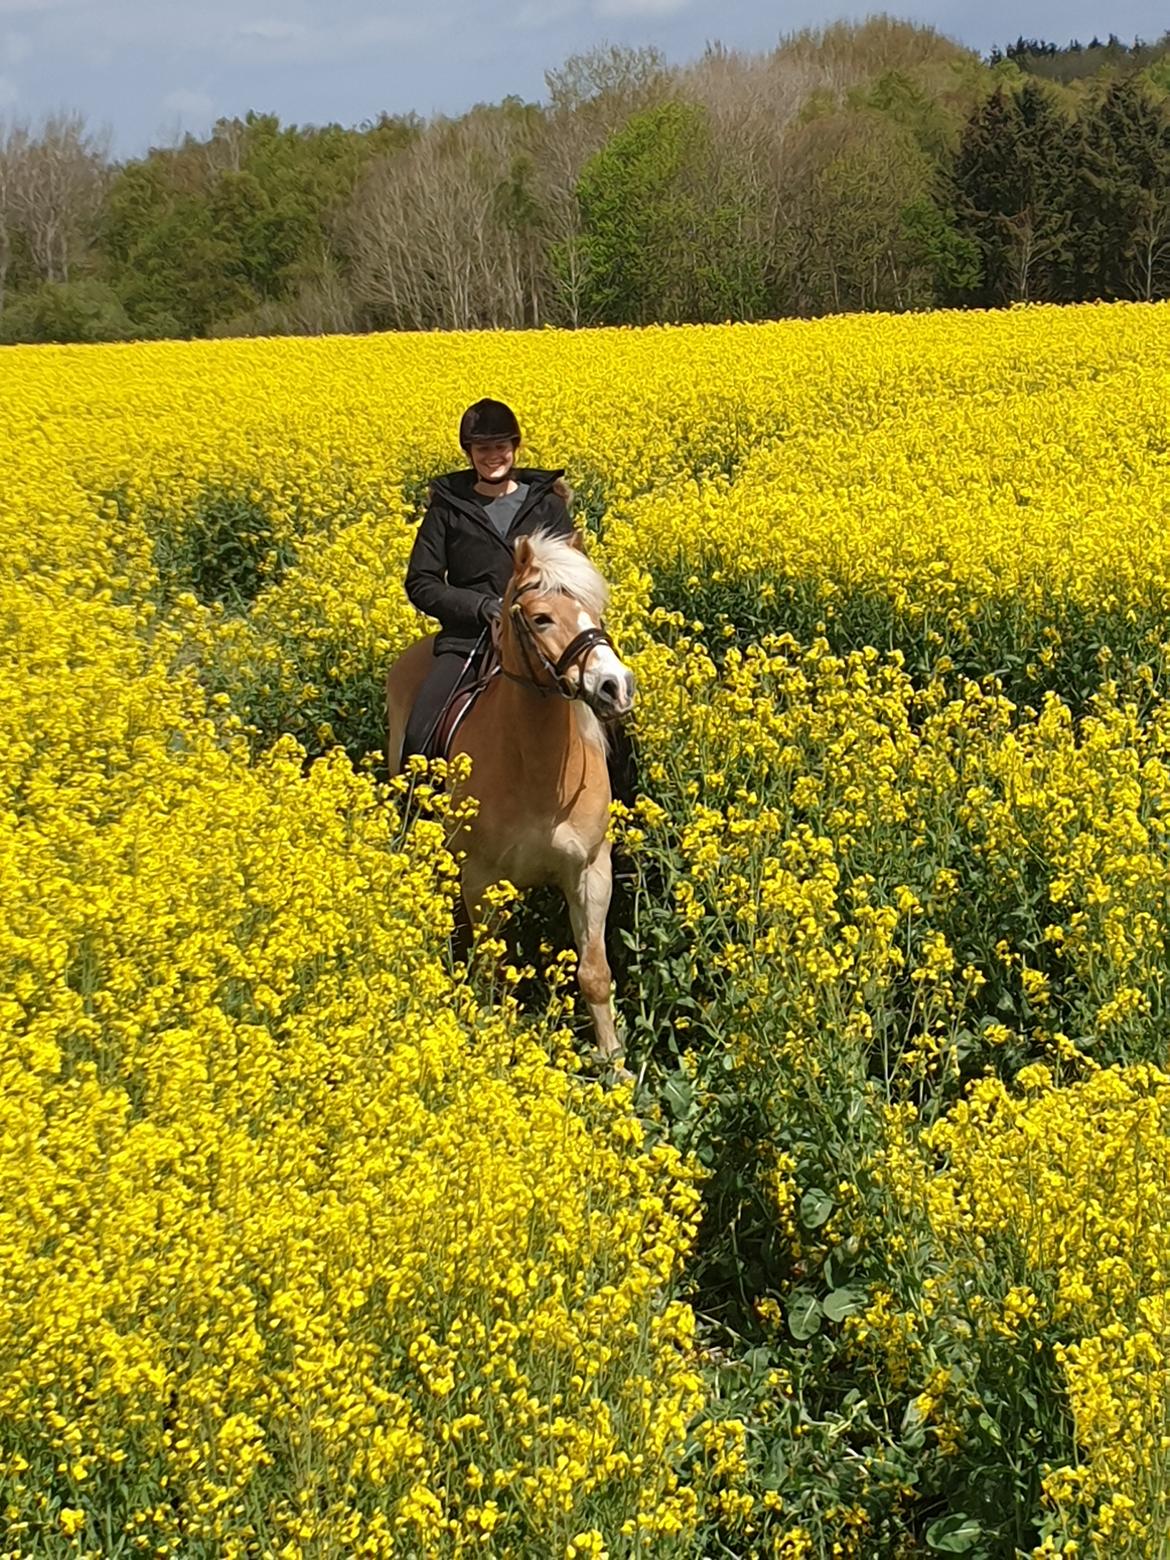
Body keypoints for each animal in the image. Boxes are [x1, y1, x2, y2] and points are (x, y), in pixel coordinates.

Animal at [385, 530, 636, 1067]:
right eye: (541, 618)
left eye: (595, 611)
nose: (615, 687)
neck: (539, 772)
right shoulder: (481, 879)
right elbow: (494, 973)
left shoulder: (591, 872)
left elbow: (594, 973)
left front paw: (614, 1064)